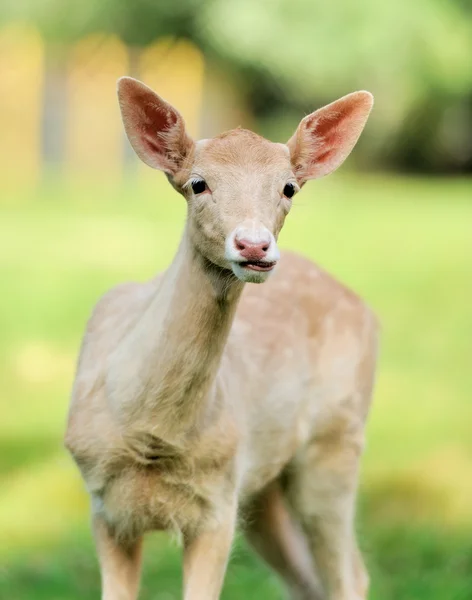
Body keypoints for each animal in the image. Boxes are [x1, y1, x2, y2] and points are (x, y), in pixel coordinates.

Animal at [64, 76, 378, 600]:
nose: (254, 245)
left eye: (289, 187)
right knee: (307, 578)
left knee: (349, 573)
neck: (150, 434)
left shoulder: (218, 501)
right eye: (197, 182)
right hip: (265, 485)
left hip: (335, 441)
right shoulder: (103, 503)